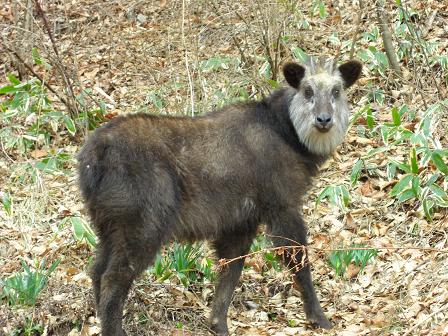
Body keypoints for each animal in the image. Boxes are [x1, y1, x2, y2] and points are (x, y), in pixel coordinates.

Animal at [79, 56, 362, 334]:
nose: (324, 120)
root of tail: (93, 156)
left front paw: (218, 325)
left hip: (108, 230)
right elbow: (299, 262)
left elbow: (229, 274)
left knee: (96, 272)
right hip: (142, 229)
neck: (285, 132)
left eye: (337, 91)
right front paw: (319, 318)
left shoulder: (240, 223)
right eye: (307, 91)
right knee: (112, 279)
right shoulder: (282, 207)